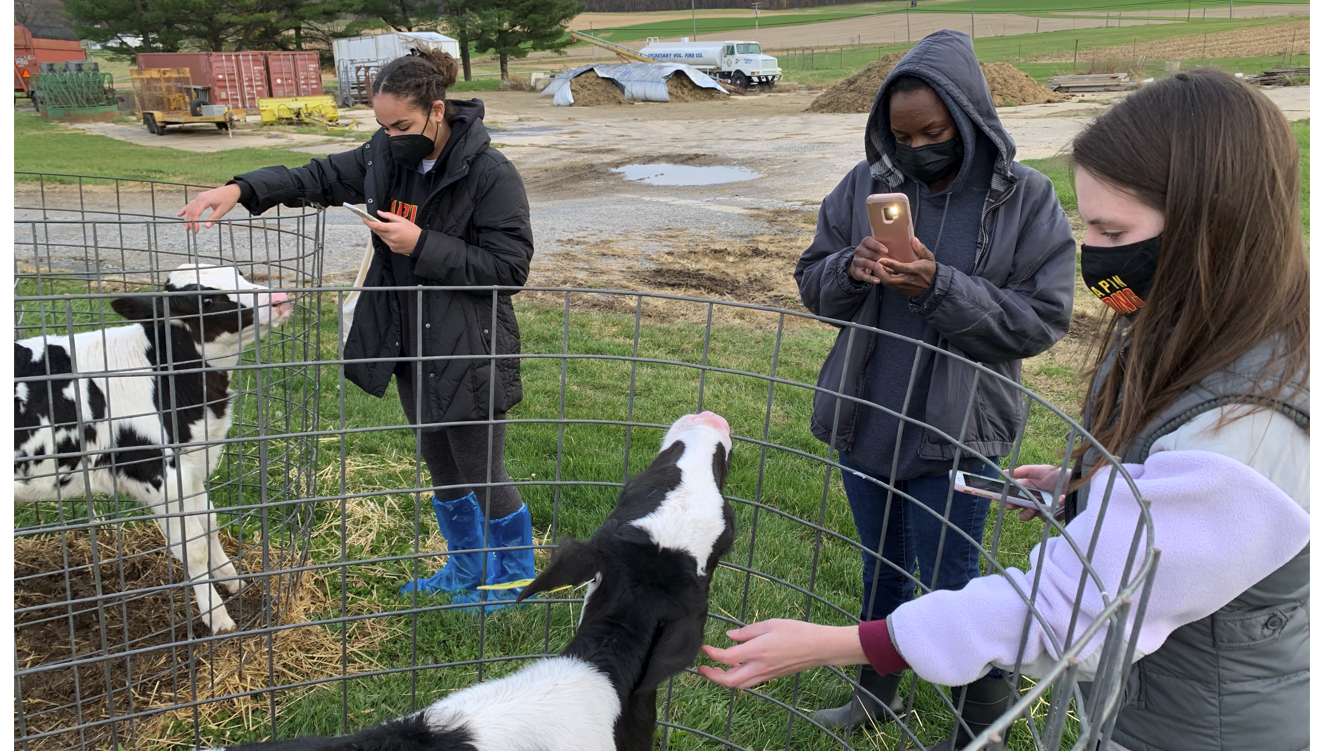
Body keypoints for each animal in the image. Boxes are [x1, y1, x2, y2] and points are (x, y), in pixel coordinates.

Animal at [14, 265, 293, 636]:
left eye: (240, 272)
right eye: (206, 300)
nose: (280, 298)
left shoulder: (189, 466)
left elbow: (209, 521)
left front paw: (234, 582)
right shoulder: (154, 473)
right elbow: (192, 546)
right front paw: (218, 618)